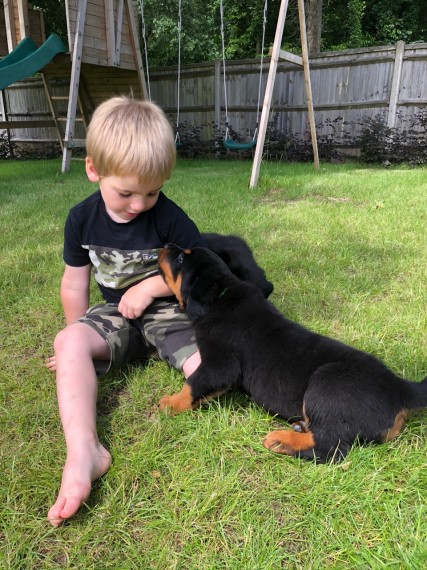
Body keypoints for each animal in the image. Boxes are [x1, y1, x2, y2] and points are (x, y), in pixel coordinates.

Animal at [158, 244, 427, 462]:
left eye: (181, 257)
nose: (165, 245)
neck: (221, 295)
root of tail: (400, 389)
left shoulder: (219, 363)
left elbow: (194, 383)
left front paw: (170, 403)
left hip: (327, 385)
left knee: (329, 449)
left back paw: (282, 440)